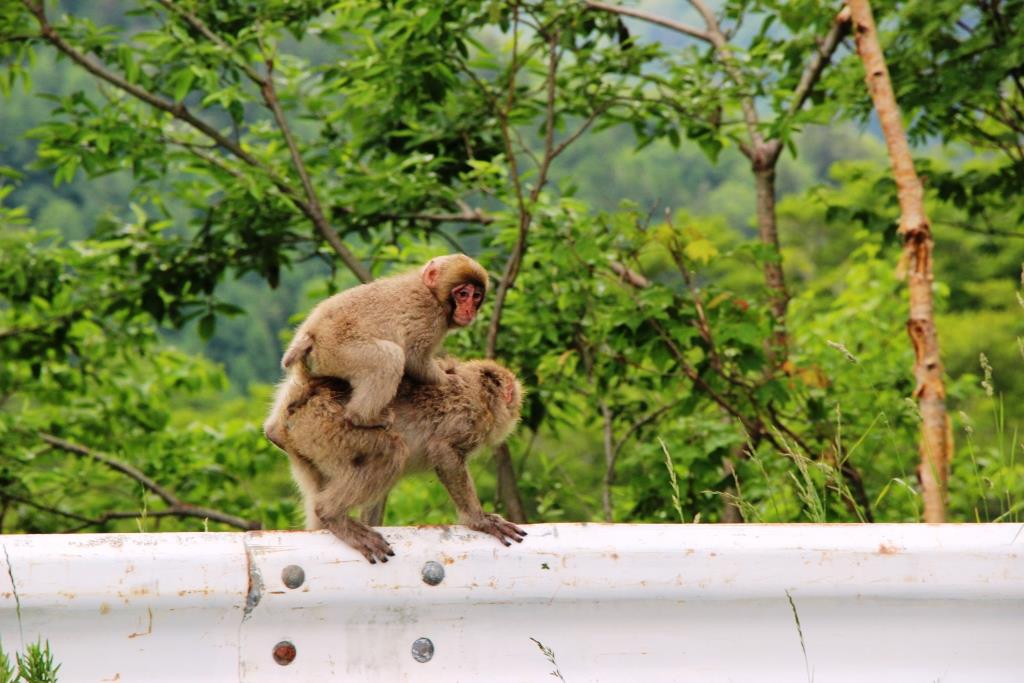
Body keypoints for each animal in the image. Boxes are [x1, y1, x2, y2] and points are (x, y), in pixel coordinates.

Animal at [264, 253, 487, 440]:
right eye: (463, 294)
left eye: (476, 295)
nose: (469, 310)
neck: (433, 294)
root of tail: (310, 332)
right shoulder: (430, 318)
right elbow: (415, 359)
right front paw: (447, 380)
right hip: (338, 352)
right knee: (390, 358)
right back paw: (363, 417)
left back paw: (274, 431)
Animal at [272, 358, 528, 561]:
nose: (514, 409)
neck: (481, 394)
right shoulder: (469, 413)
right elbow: (443, 450)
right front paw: (479, 520)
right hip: (329, 424)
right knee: (392, 452)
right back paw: (330, 514)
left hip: (308, 444)